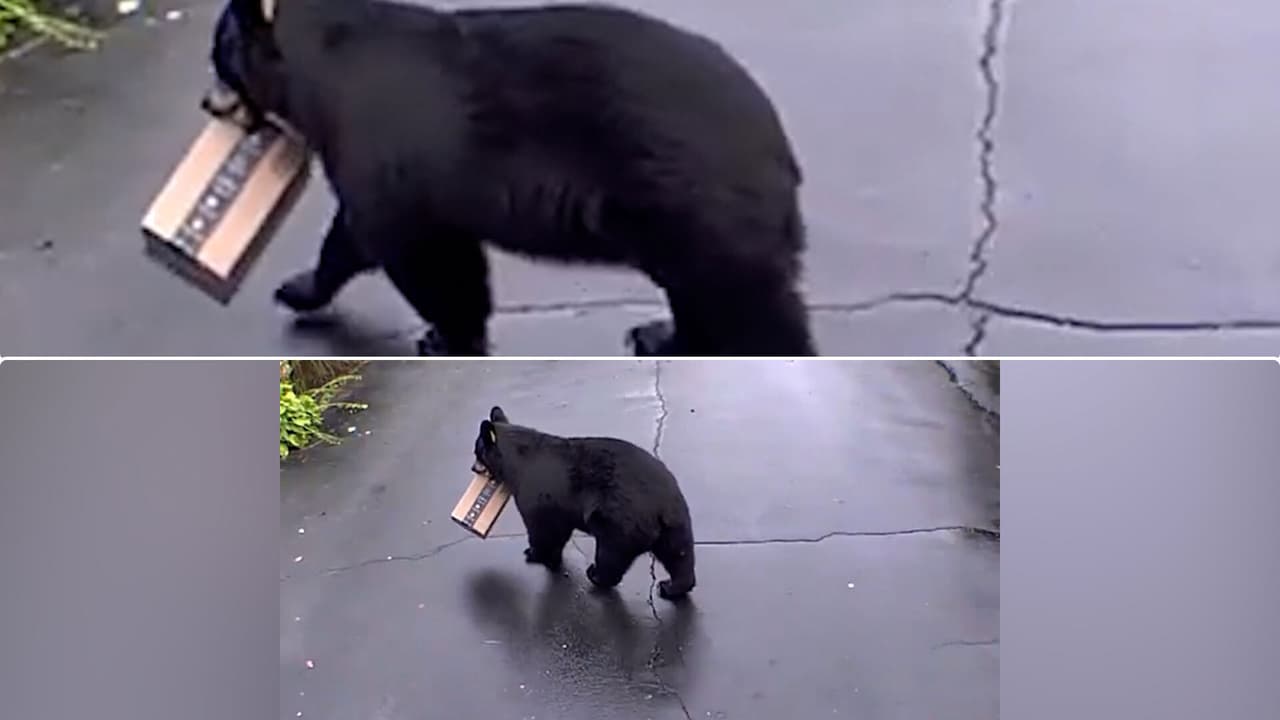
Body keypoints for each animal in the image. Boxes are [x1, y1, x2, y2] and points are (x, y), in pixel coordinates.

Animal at [208, 0, 815, 357]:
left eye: (219, 56)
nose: (207, 103)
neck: (324, 67)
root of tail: (776, 140)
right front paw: (300, 288)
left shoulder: (381, 141)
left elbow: (409, 245)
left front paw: (448, 337)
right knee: (698, 292)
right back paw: (661, 336)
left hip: (695, 201)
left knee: (750, 304)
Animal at [471, 406, 696, 600]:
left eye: (477, 451)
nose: (473, 468)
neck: (517, 461)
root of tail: (661, 504)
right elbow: (559, 529)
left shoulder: (536, 493)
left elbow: (542, 528)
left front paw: (534, 554)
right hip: (675, 522)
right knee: (679, 554)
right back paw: (671, 587)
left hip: (619, 520)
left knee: (612, 553)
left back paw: (596, 574)